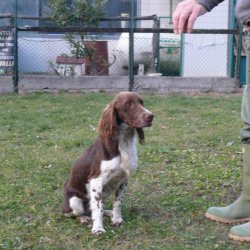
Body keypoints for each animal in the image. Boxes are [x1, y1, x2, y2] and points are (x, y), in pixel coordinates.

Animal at [61, 92, 153, 234]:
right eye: (128, 104)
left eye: (142, 102)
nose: (150, 116)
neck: (123, 143)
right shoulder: (96, 181)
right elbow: (97, 209)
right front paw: (98, 228)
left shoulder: (123, 179)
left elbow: (118, 202)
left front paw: (117, 218)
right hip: (74, 201)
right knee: (76, 214)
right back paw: (84, 218)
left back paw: (109, 213)